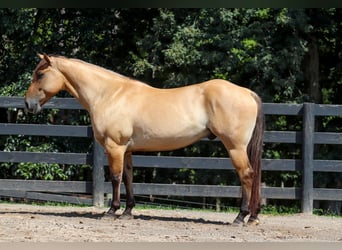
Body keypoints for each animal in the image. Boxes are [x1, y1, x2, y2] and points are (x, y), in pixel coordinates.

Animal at [24, 53, 264, 226]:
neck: (109, 94)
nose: (28, 104)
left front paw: (112, 211)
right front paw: (128, 211)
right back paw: (253, 217)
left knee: (247, 175)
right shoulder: (127, 150)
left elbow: (116, 178)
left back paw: (241, 217)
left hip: (235, 147)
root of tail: (247, 93)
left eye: (40, 74)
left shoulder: (115, 147)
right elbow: (128, 178)